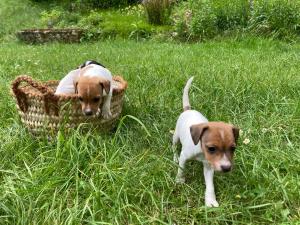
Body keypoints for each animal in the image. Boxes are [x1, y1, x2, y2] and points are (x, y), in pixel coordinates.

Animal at [172, 77, 240, 207]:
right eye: (211, 148)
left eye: (233, 148)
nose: (227, 168)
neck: (200, 150)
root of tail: (188, 110)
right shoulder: (184, 156)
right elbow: (181, 169)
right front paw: (179, 179)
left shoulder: (209, 165)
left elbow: (210, 185)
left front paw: (210, 200)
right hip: (176, 136)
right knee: (173, 146)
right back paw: (174, 157)